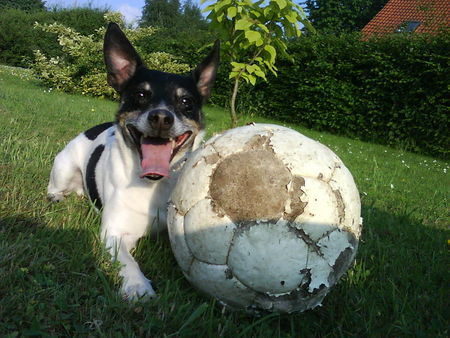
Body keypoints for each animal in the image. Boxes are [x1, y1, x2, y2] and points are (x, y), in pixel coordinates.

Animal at [47, 22, 220, 300]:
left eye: (186, 101)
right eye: (140, 94)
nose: (161, 118)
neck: (153, 184)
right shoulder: (115, 233)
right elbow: (127, 260)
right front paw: (137, 285)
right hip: (63, 166)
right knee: (55, 186)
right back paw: (56, 196)